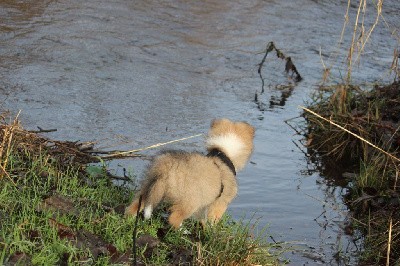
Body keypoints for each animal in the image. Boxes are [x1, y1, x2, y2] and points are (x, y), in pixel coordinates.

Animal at [125, 118, 255, 229]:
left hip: (148, 186)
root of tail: (166, 168)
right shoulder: (220, 203)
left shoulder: (205, 204)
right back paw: (181, 231)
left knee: (134, 206)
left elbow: (202, 218)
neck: (222, 152)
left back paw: (130, 219)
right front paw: (211, 231)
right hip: (191, 201)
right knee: (174, 217)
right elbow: (213, 219)